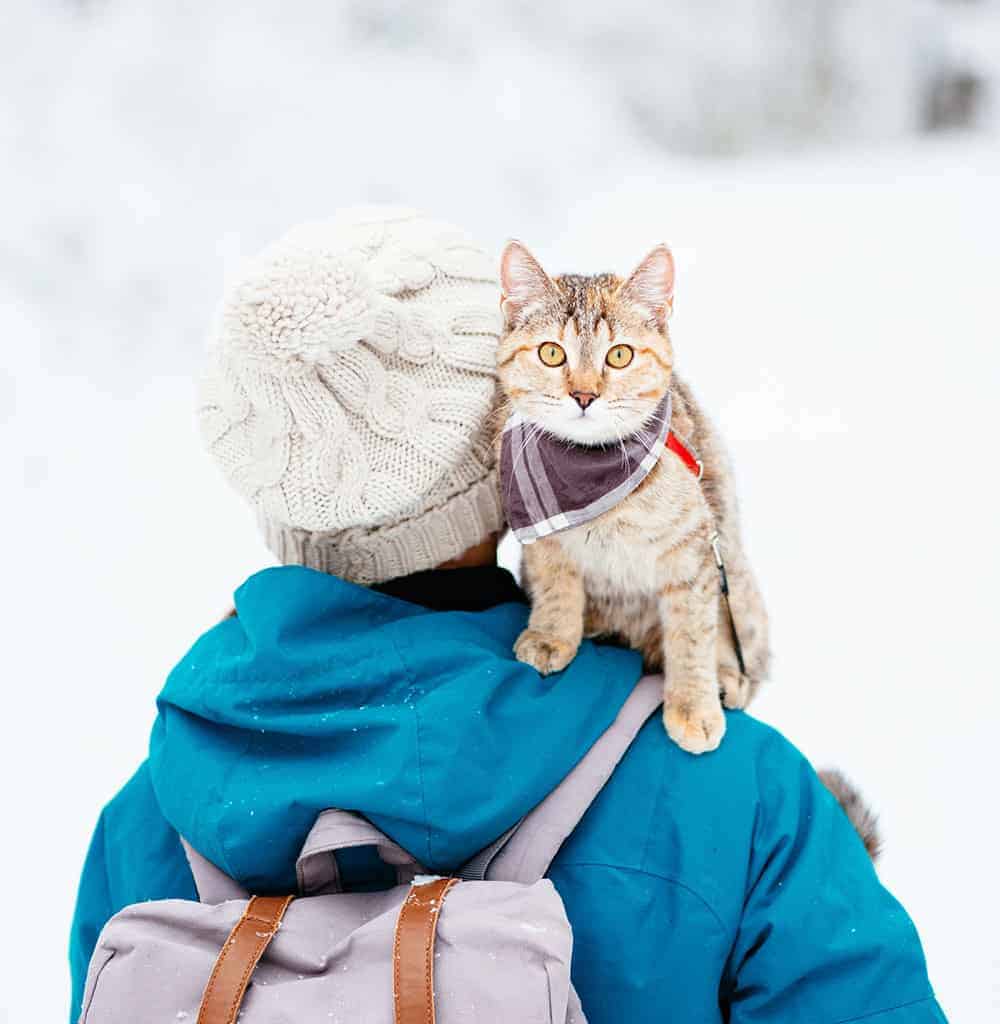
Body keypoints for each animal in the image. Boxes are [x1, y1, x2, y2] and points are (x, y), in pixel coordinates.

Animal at [495, 239, 769, 753]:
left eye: (619, 356)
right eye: (551, 353)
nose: (584, 395)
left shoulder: (694, 552)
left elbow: (692, 632)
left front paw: (693, 704)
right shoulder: (545, 543)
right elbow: (557, 588)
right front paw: (552, 635)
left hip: (739, 583)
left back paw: (726, 679)